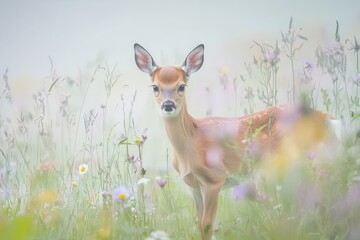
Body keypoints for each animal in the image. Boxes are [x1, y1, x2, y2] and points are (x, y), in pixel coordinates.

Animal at [134, 44, 330, 239]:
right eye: (155, 87)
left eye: (182, 86)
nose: (168, 105)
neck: (191, 143)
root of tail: (327, 118)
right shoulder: (193, 185)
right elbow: (199, 223)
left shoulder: (214, 179)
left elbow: (207, 225)